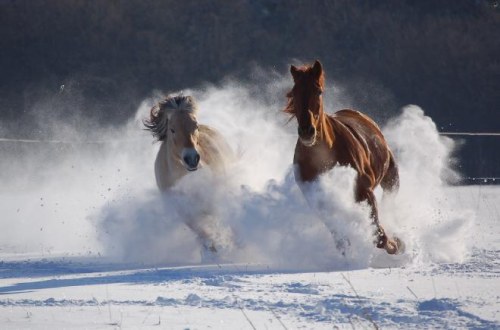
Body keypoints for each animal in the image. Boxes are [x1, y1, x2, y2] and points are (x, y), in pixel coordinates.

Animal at [284, 60, 404, 255]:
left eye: (318, 91)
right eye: (294, 92)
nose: (307, 131)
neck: (324, 156)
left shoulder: (364, 190)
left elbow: (379, 236)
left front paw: (396, 244)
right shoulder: (320, 202)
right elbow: (341, 238)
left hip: (390, 177)